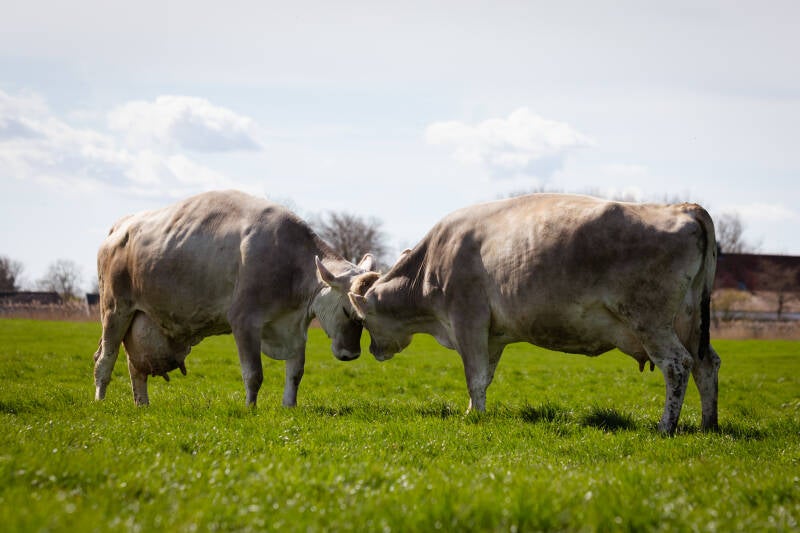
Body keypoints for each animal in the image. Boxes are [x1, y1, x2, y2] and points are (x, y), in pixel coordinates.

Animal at [93, 190, 376, 407]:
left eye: (365, 318)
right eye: (348, 312)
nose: (351, 354)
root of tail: (120, 227)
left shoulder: (295, 327)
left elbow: (295, 373)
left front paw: (289, 406)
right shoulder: (244, 321)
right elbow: (253, 374)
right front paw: (250, 409)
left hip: (139, 321)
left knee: (135, 368)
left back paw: (142, 404)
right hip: (115, 310)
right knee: (104, 359)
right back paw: (100, 401)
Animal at [333, 194, 721, 435]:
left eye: (361, 320)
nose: (373, 350)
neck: (430, 265)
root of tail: (684, 208)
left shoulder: (467, 320)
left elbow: (474, 376)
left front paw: (476, 418)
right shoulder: (493, 335)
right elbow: (484, 377)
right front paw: (474, 411)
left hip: (650, 322)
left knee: (677, 365)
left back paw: (665, 427)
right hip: (690, 324)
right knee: (706, 364)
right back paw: (708, 425)